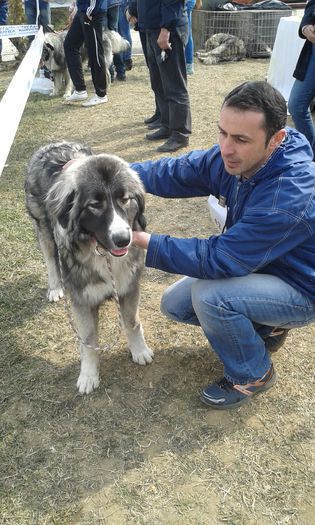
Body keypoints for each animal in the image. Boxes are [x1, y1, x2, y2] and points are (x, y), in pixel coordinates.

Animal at [24, 141, 154, 396]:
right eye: (95, 205)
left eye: (125, 199)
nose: (123, 240)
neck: (100, 252)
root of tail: (52, 145)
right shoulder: (82, 301)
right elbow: (89, 341)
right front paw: (88, 375)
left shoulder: (128, 287)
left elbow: (132, 323)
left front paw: (139, 350)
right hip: (43, 227)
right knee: (50, 259)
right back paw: (55, 287)